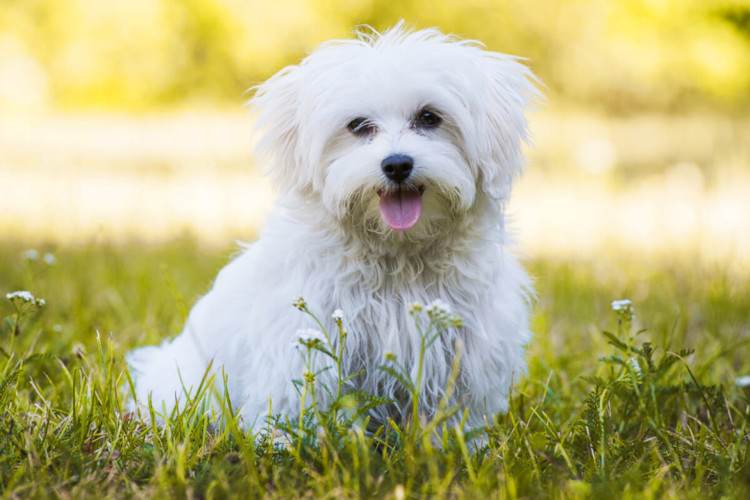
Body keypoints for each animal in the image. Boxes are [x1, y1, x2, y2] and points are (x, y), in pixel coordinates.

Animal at [128, 23, 540, 430]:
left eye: (429, 118)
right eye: (358, 125)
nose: (397, 164)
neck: (398, 256)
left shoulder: (465, 353)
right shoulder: (304, 344)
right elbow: (300, 409)